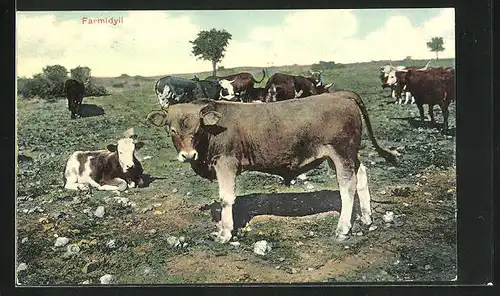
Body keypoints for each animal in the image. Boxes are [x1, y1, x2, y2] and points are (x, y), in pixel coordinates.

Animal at [146, 92, 398, 243]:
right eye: (171, 129)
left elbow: (226, 199)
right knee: (361, 175)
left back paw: (343, 228)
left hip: (341, 152)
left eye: (197, 129)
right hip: (346, 154)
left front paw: (225, 232)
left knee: (348, 187)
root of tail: (340, 94)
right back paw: (366, 217)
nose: (188, 155)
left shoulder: (226, 163)